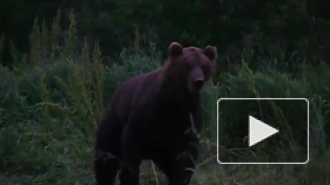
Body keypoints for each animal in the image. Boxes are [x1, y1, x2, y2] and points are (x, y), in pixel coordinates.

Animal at [93, 42, 217, 185]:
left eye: (204, 65)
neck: (177, 99)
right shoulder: (149, 111)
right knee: (104, 160)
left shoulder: (187, 118)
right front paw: (130, 176)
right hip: (113, 125)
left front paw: (181, 177)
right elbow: (131, 143)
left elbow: (186, 156)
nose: (198, 81)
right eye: (187, 65)